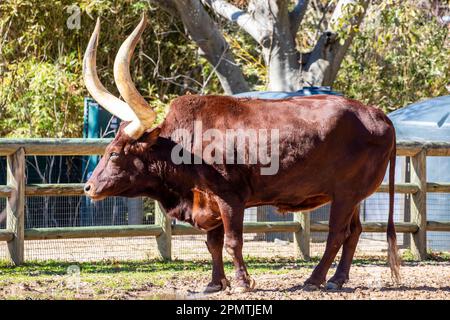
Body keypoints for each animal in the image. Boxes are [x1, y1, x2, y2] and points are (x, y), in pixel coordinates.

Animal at [82, 16, 400, 294]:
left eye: (114, 154)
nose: (89, 187)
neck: (186, 146)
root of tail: (378, 115)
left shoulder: (230, 198)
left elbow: (232, 242)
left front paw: (243, 282)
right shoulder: (209, 201)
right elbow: (213, 243)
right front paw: (214, 283)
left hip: (346, 194)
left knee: (336, 234)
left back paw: (315, 279)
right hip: (352, 196)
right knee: (354, 232)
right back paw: (337, 279)